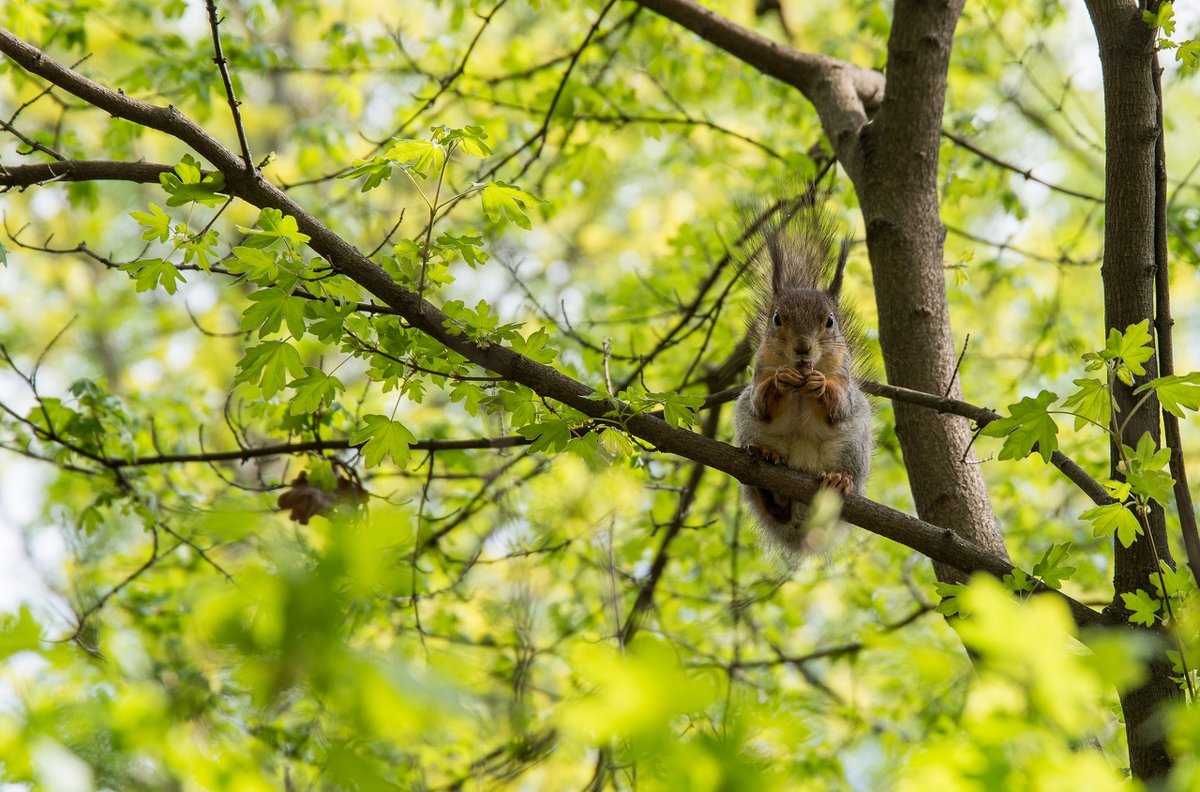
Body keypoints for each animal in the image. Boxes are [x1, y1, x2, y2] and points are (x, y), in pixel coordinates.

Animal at [729, 207, 873, 554]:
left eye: (830, 321)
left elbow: (840, 405)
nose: (802, 347)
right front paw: (781, 380)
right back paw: (769, 467)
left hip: (853, 446)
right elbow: (760, 400)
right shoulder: (759, 373)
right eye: (776, 318)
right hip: (749, 429)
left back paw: (840, 480)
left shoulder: (845, 382)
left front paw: (820, 384)